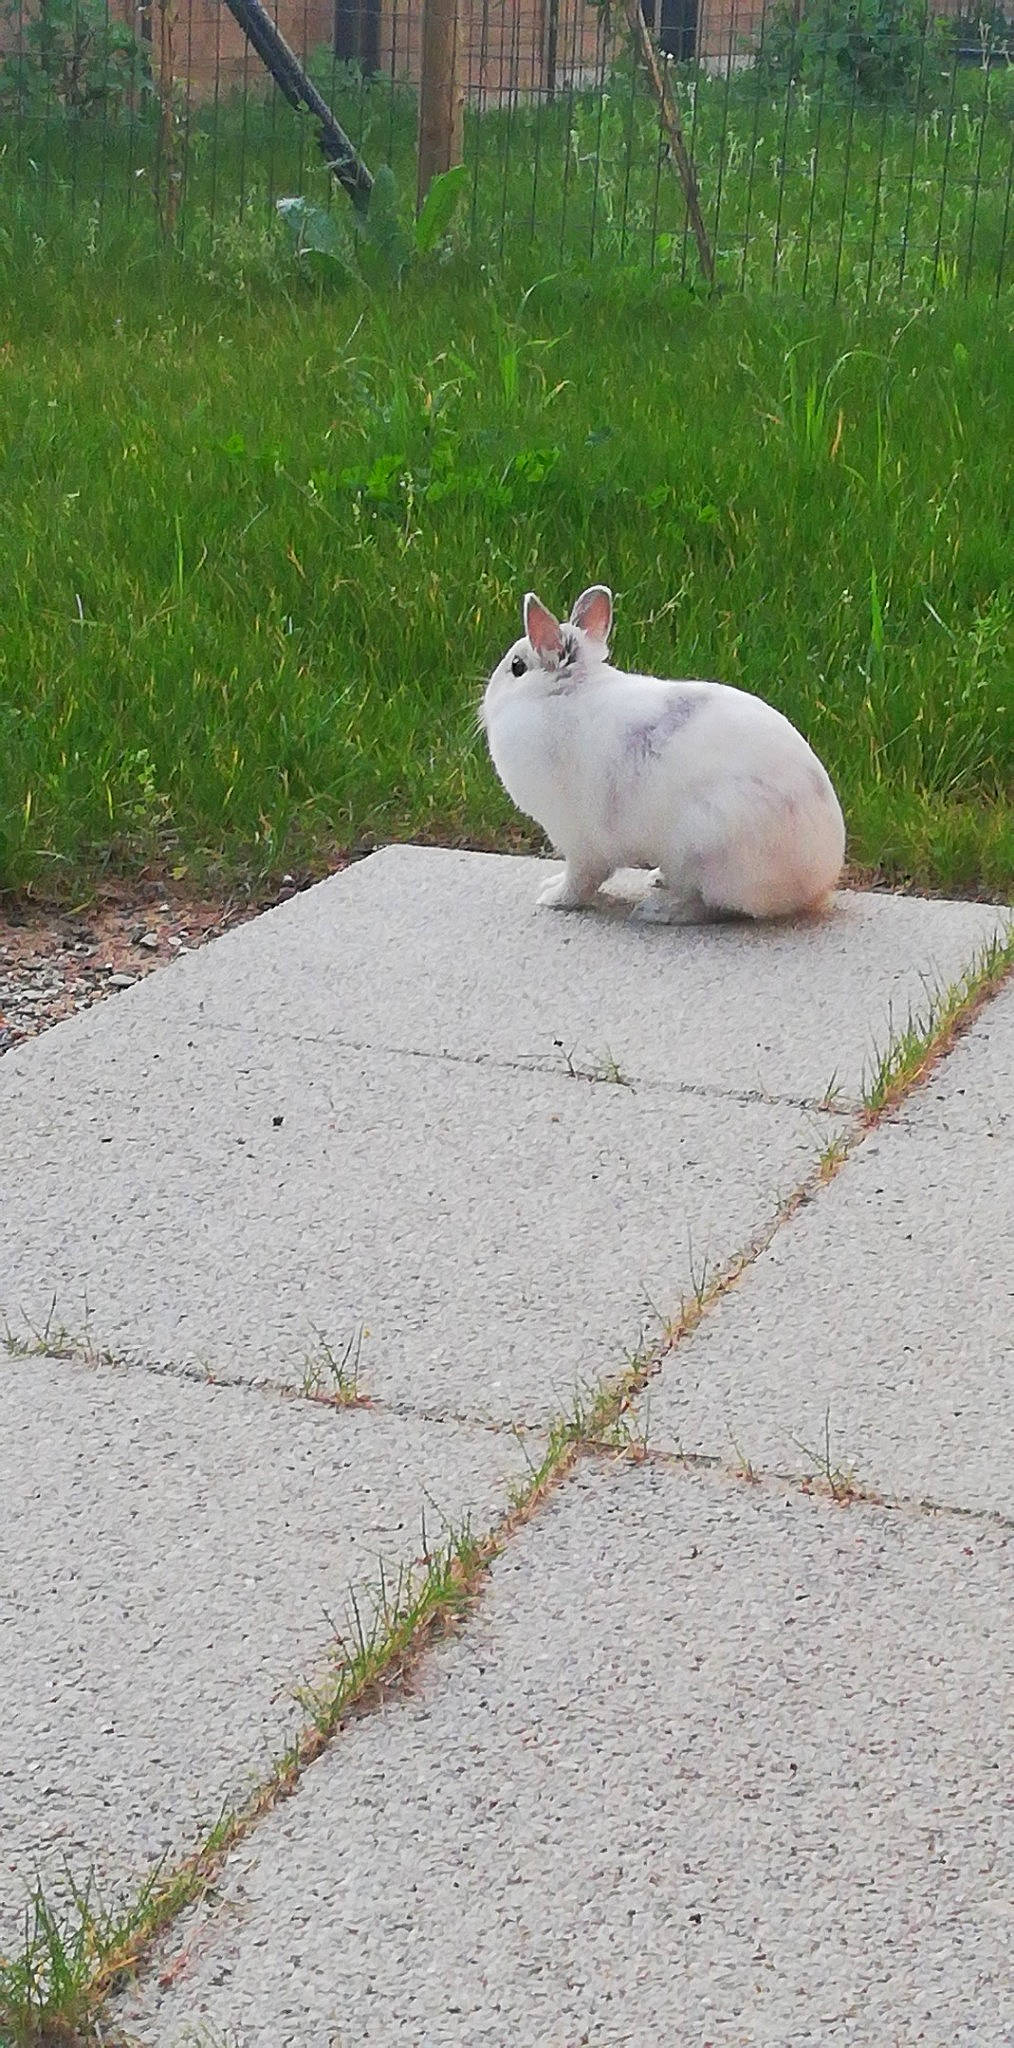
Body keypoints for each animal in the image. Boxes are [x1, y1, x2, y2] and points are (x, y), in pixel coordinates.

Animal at [480, 585, 846, 923]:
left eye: (516, 667)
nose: (484, 702)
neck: (564, 692)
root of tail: (817, 885)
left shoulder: (579, 840)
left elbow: (582, 879)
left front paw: (552, 898)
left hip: (707, 849)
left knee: (715, 907)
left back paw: (658, 910)